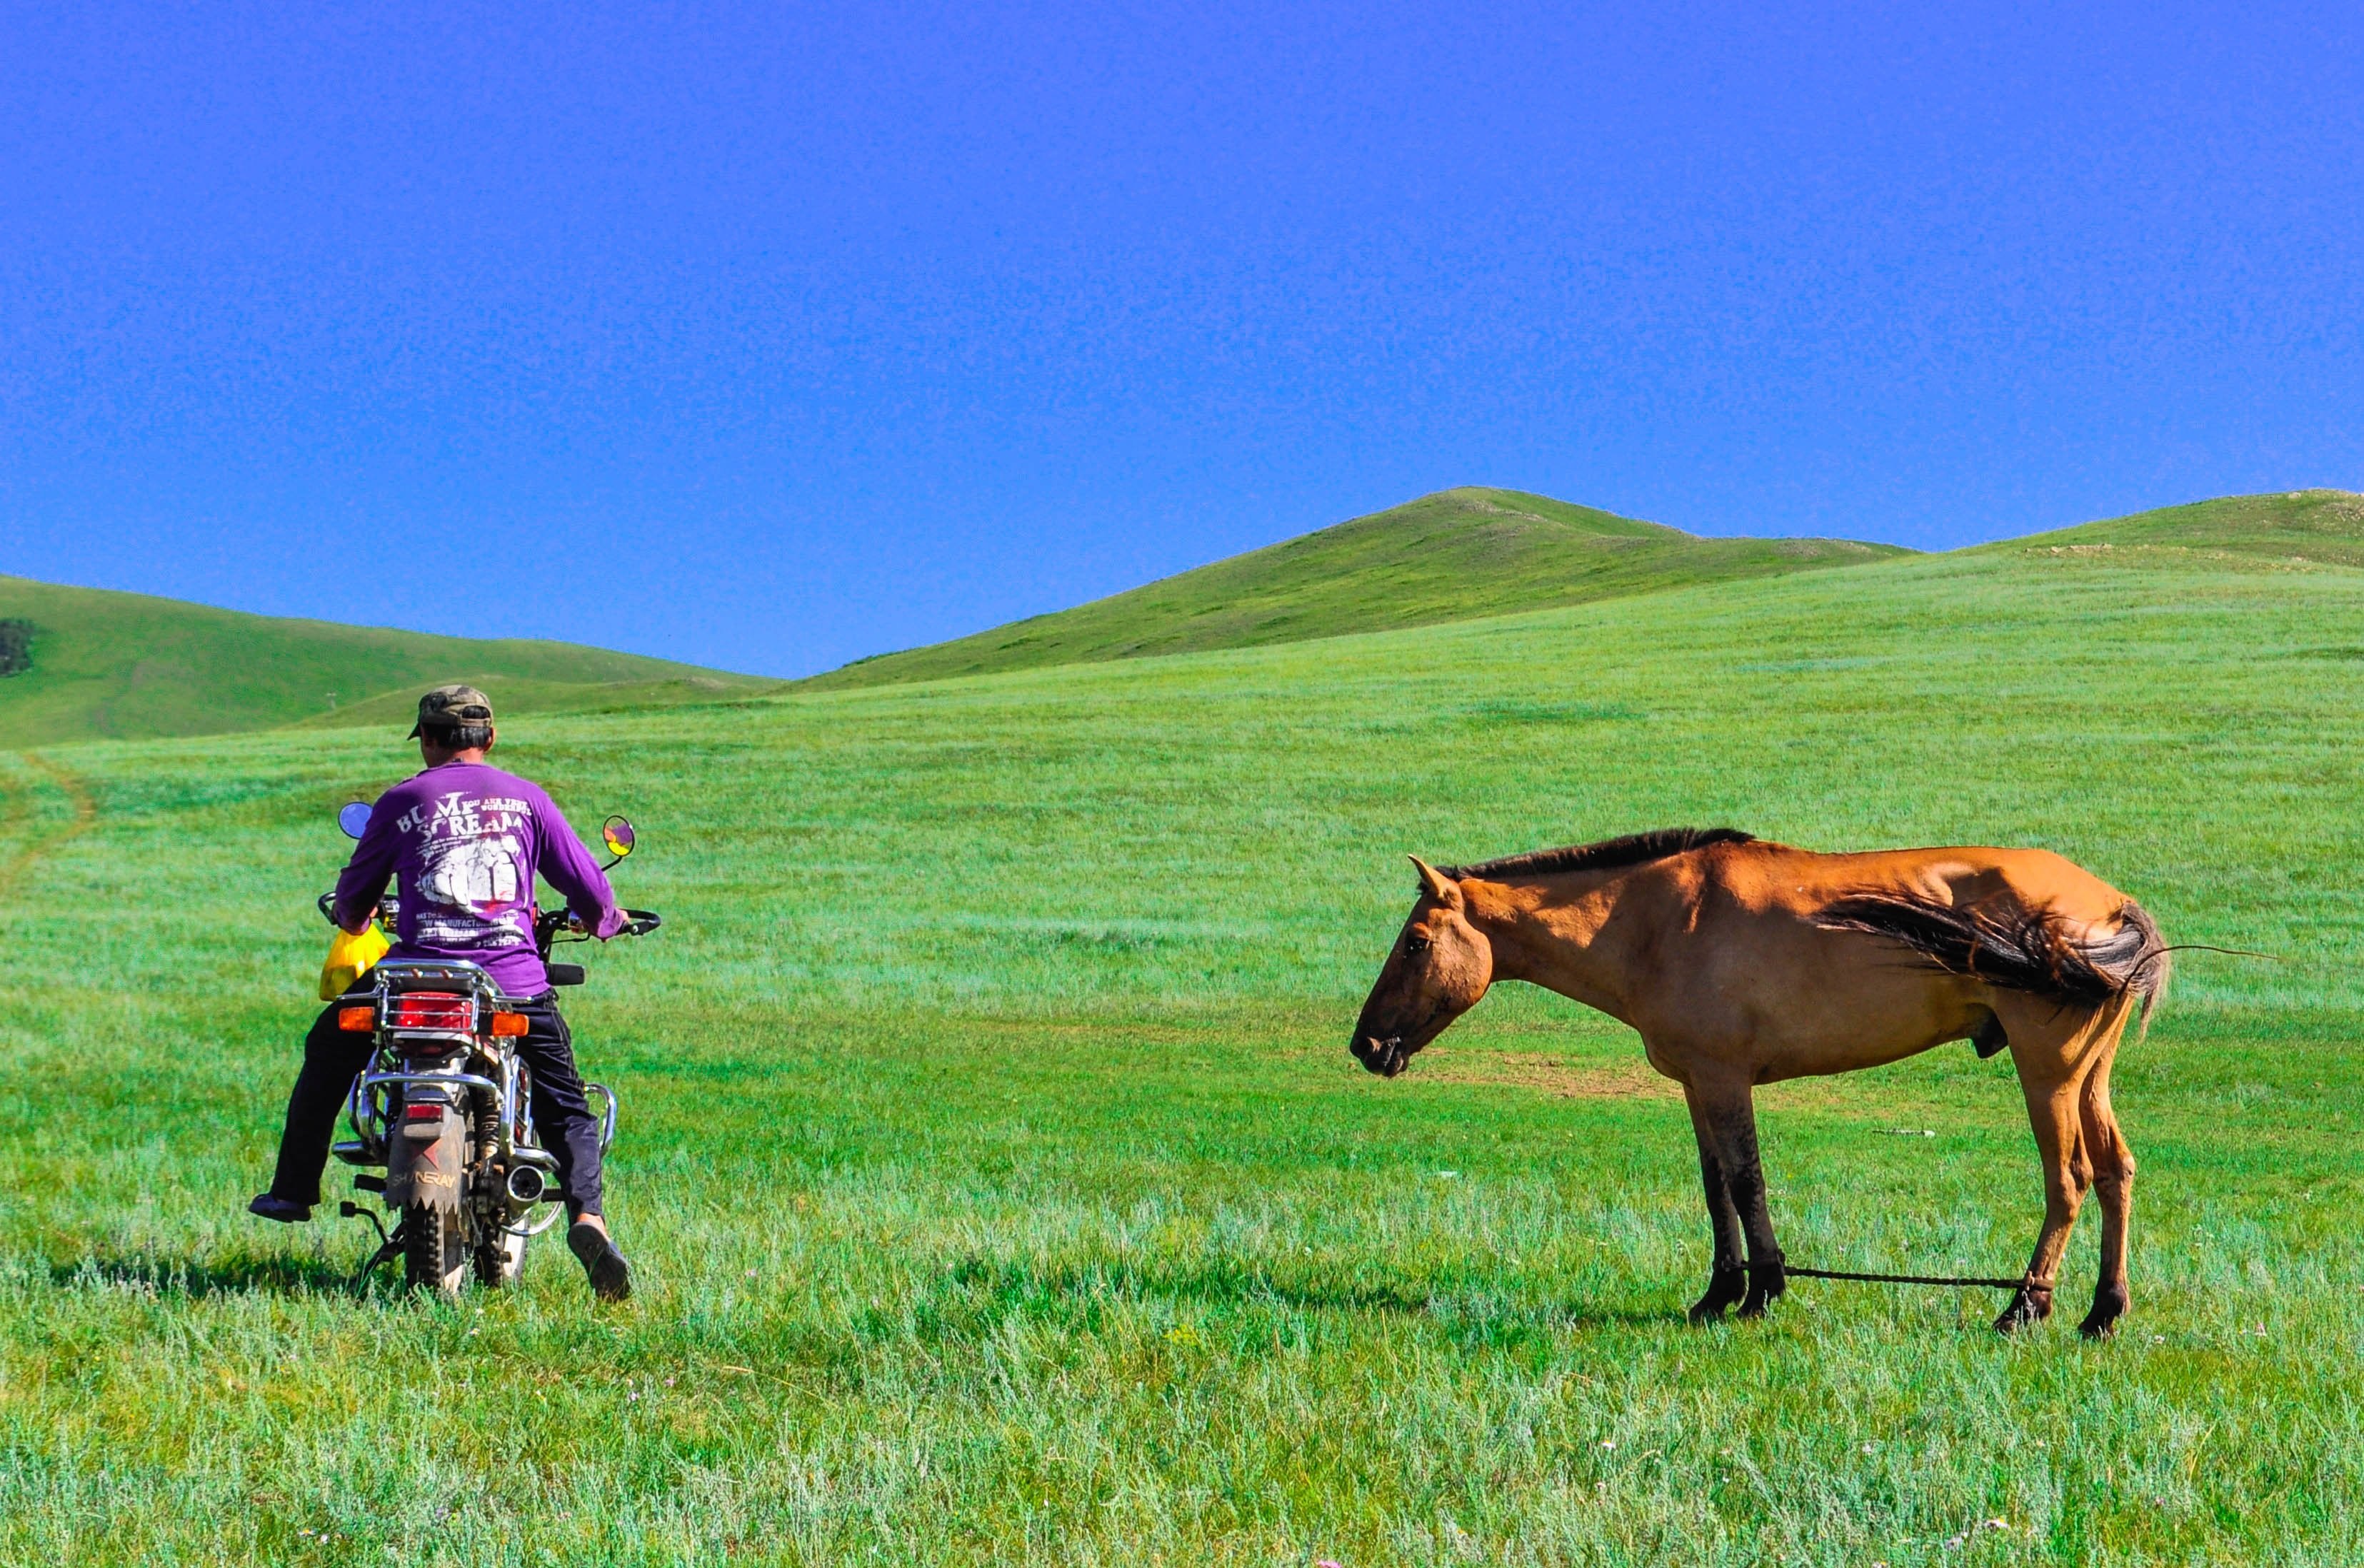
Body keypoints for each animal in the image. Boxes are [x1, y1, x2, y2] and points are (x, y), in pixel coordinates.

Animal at [1361, 832, 2165, 1334]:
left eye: (1416, 943)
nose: (1365, 1044)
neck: (1654, 923)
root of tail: (2110, 903)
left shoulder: (1724, 1079)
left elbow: (1746, 1180)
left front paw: (1764, 1290)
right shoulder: (1696, 1082)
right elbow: (1715, 1184)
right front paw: (1718, 1293)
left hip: (2046, 1073)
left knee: (2068, 1180)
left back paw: (2023, 1309)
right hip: (2088, 1077)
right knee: (2116, 1172)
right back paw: (2102, 1312)